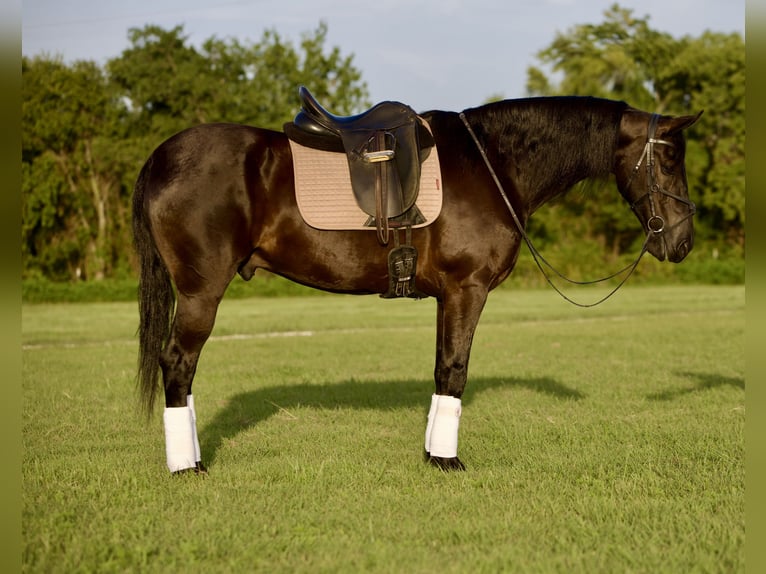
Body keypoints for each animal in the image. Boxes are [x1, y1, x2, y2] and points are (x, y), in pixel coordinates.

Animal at [132, 94, 701, 473]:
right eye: (670, 157)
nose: (683, 241)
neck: (490, 163)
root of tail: (162, 156)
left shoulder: (447, 297)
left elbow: (441, 368)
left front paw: (432, 453)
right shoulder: (467, 290)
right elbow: (456, 370)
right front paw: (448, 461)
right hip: (201, 293)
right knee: (178, 364)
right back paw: (187, 465)